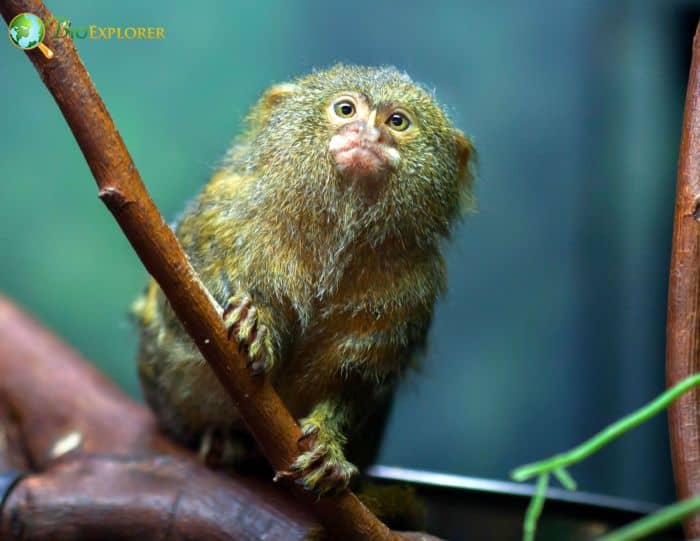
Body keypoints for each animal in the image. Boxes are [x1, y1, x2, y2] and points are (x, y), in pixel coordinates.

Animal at [133, 64, 475, 496]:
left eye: (397, 121)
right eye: (345, 109)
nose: (369, 134)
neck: (334, 232)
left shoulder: (411, 287)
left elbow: (357, 382)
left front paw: (328, 446)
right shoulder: (216, 218)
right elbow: (181, 308)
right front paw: (254, 320)